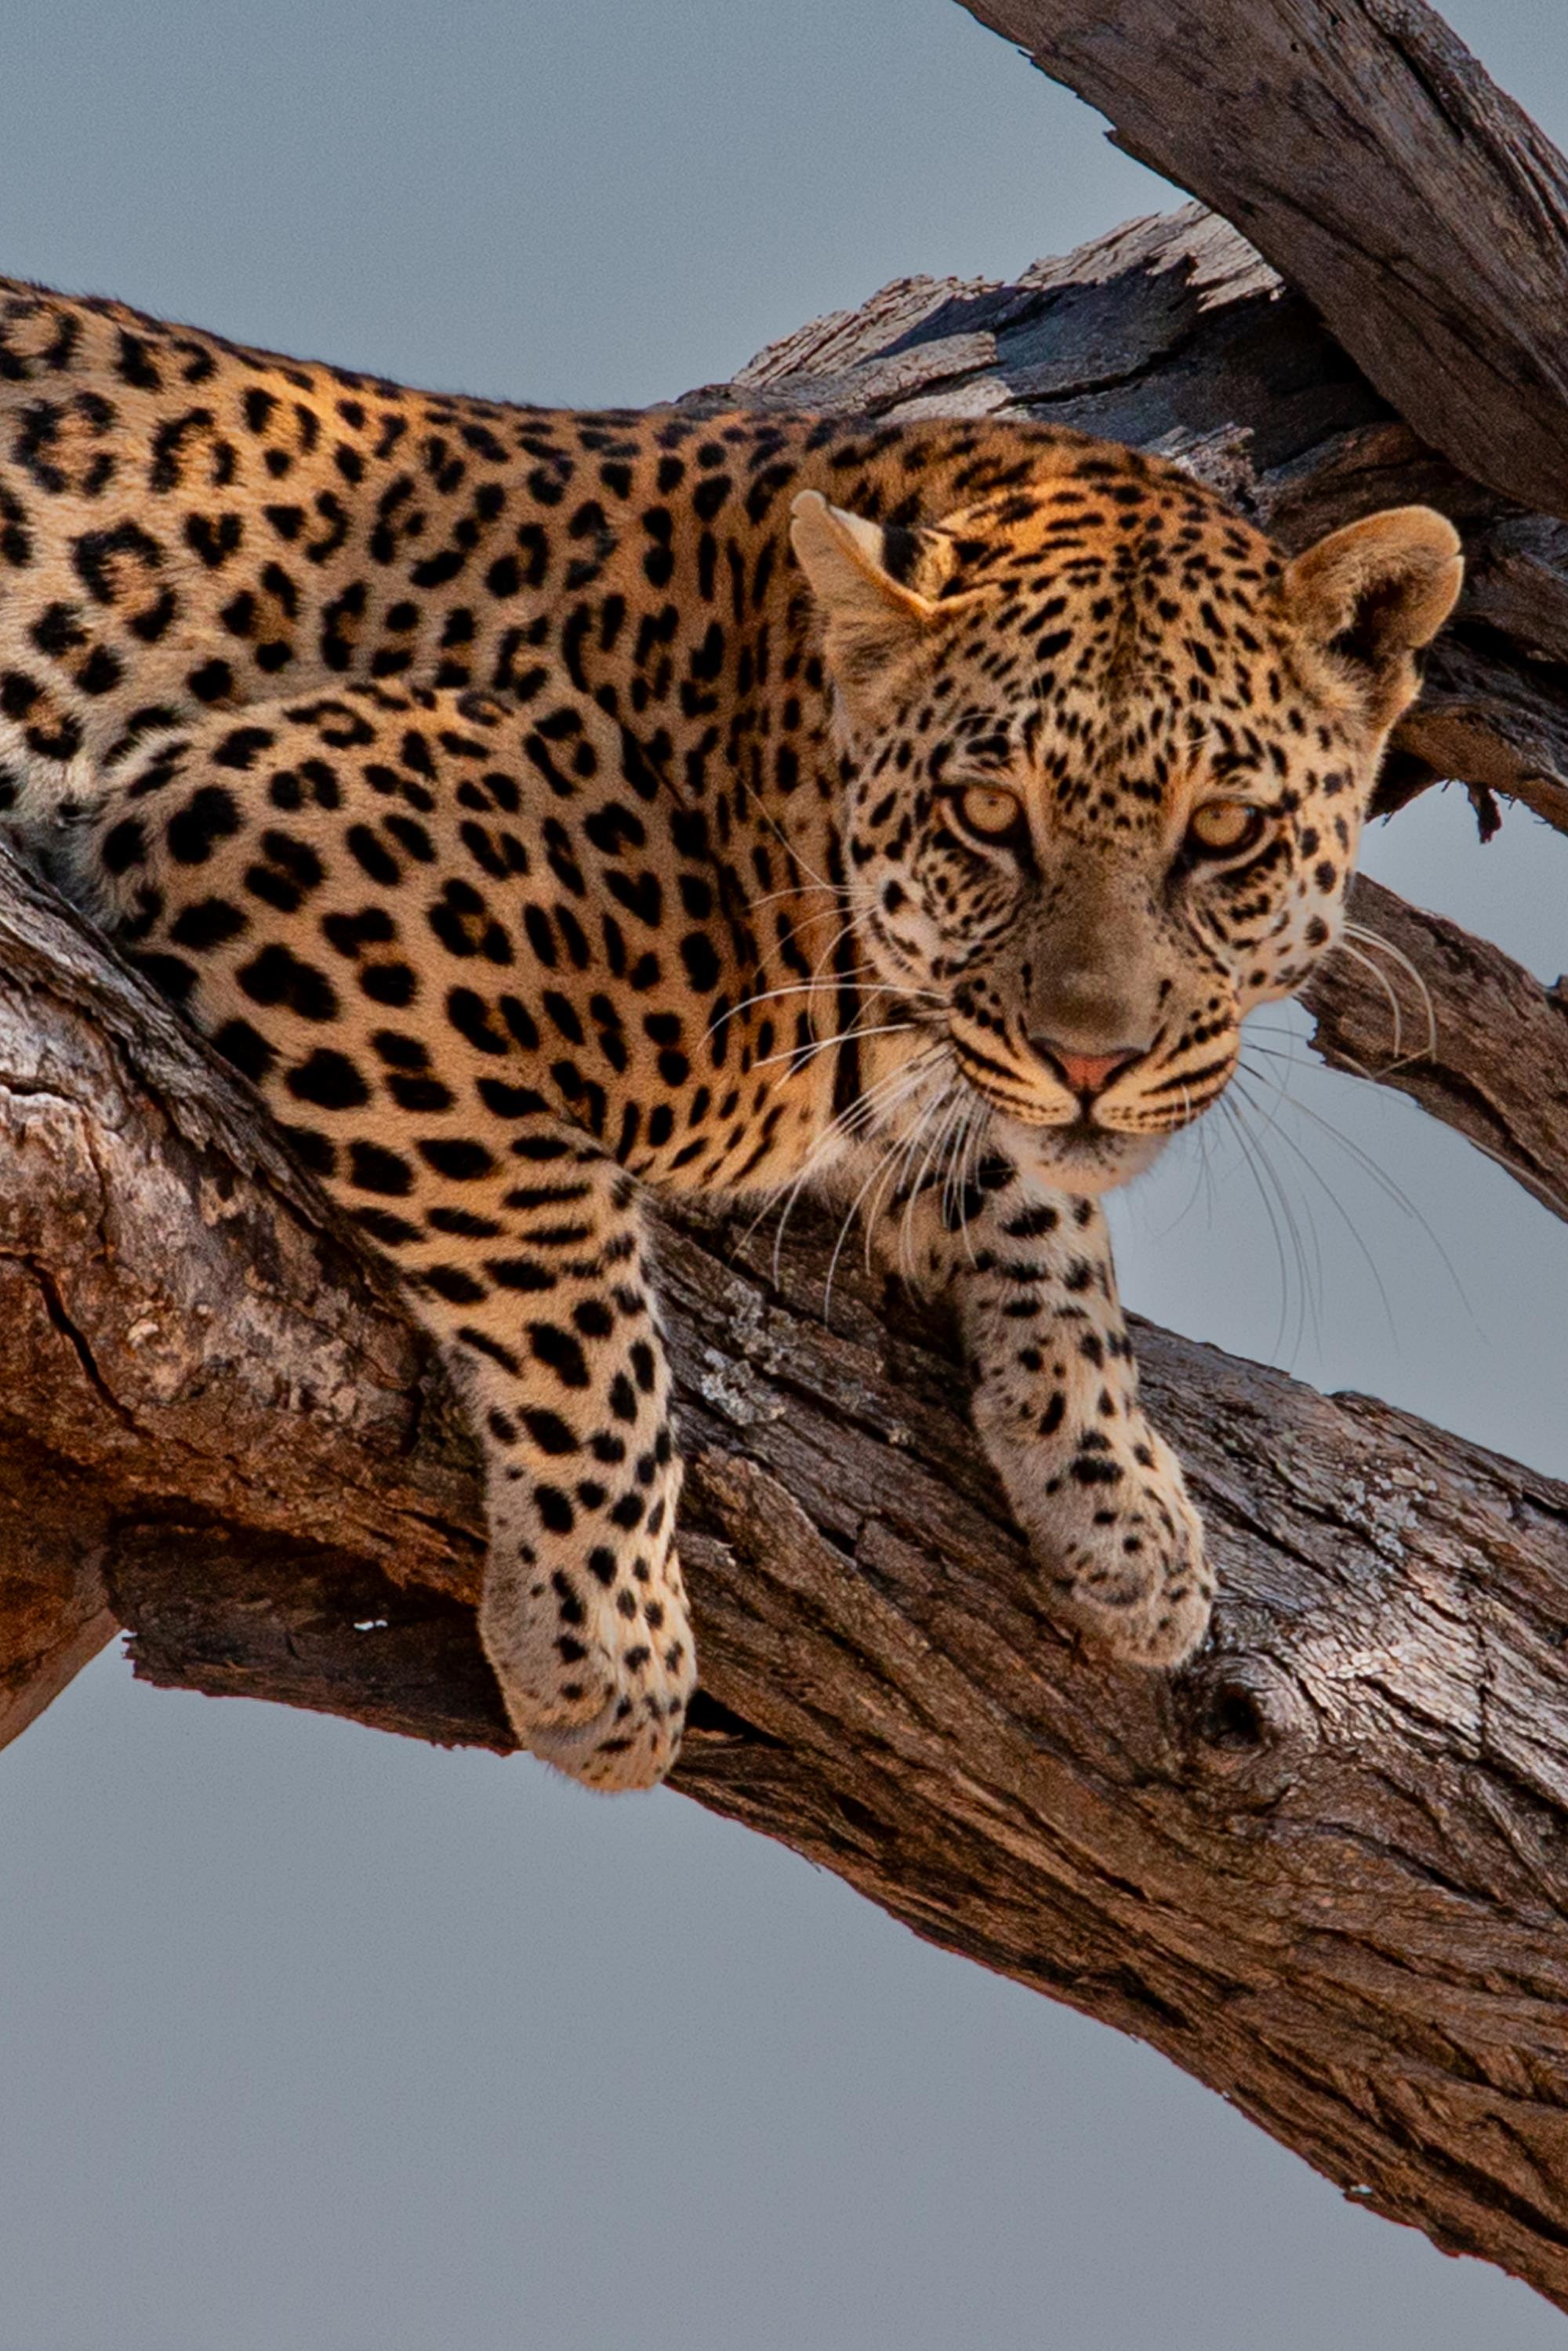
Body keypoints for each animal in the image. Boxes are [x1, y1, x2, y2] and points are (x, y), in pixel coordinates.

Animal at [0, 270, 1467, 1777]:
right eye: (986, 814)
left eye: (1223, 830)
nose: (1092, 1058)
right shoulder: (288, 822)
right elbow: (567, 1279)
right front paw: (608, 1641)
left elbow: (1036, 1194)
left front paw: (1121, 1498)